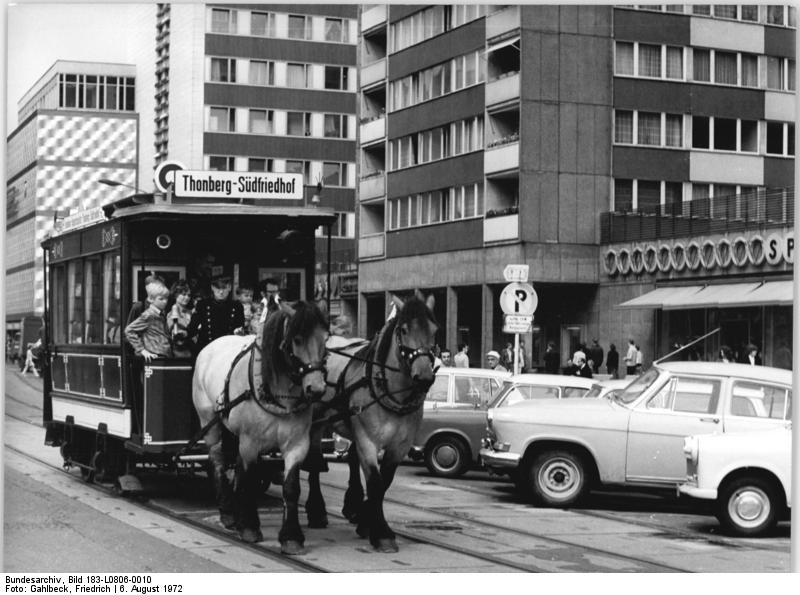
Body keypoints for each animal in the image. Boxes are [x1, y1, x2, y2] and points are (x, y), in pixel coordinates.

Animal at [193, 300, 328, 556]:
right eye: (297, 339)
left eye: (326, 338)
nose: (316, 389)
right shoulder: (250, 442)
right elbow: (248, 477)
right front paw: (249, 527)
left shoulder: (297, 444)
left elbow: (291, 487)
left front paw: (291, 538)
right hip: (210, 424)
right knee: (217, 460)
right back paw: (228, 513)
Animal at [304, 294, 438, 556]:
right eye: (404, 329)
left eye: (434, 330)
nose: (425, 377)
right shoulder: (368, 439)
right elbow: (375, 482)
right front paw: (382, 534)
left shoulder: (400, 445)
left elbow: (384, 481)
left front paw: (366, 520)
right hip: (316, 422)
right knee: (314, 462)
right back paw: (316, 510)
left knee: (352, 459)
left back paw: (353, 503)